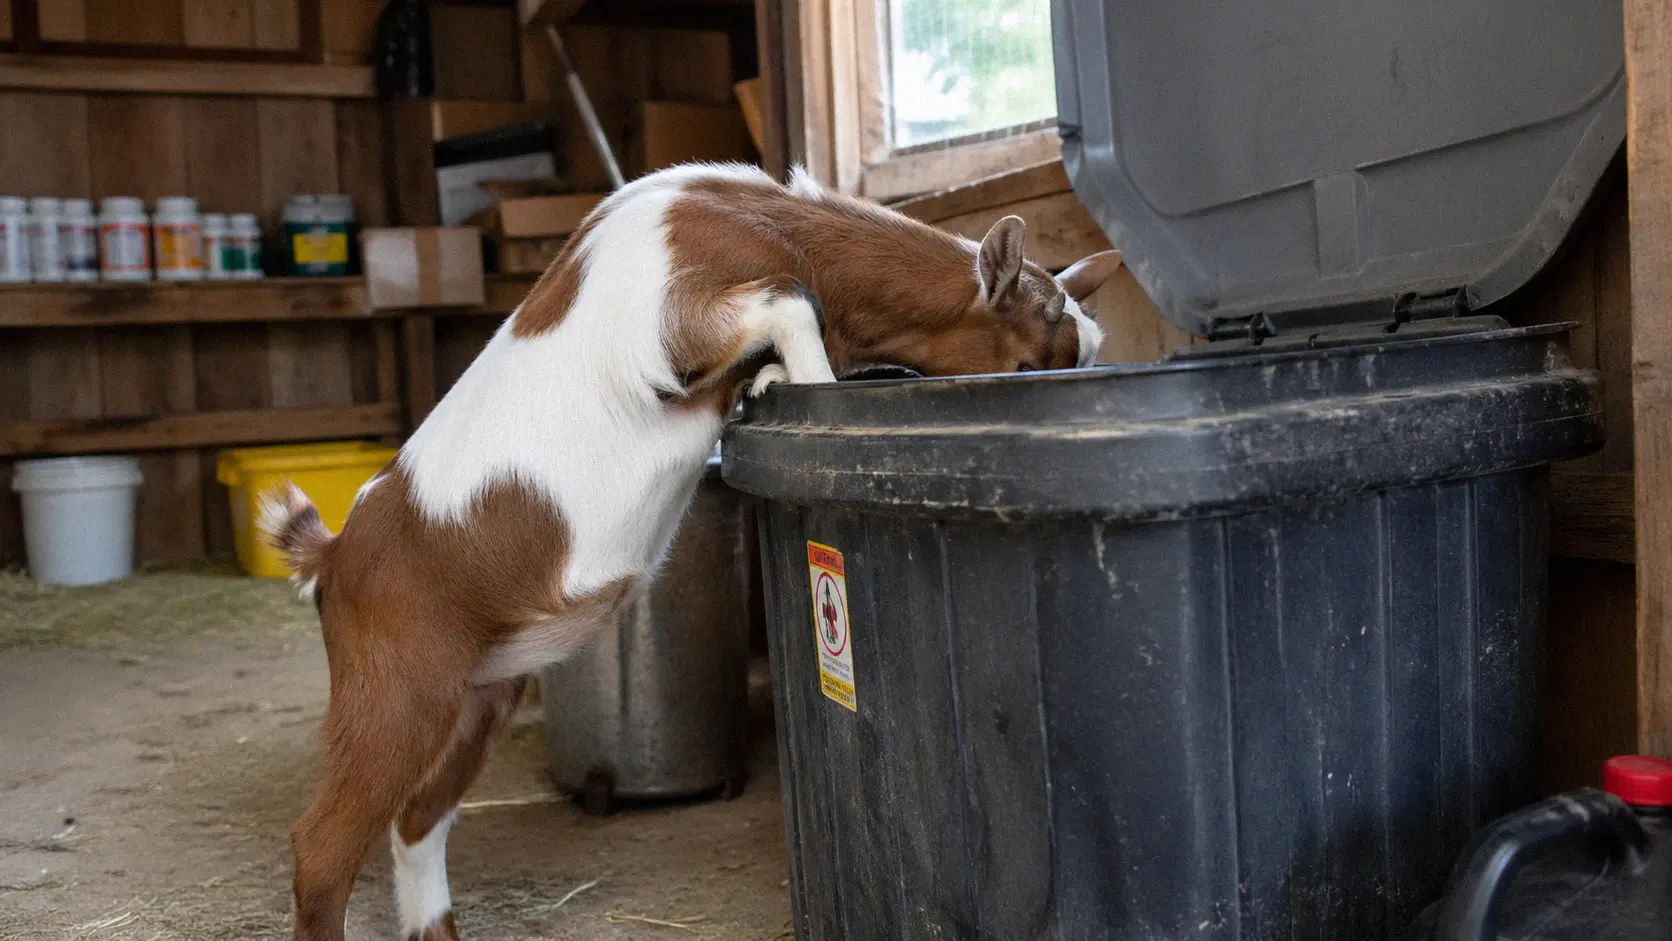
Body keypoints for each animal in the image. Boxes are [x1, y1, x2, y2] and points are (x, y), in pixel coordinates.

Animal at [260, 162, 1122, 941]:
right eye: (1025, 362)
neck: (753, 216)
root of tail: (334, 554)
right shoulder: (674, 329)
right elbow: (792, 298)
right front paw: (813, 387)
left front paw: (770, 382)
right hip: (396, 692)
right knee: (322, 848)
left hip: (481, 695)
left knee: (418, 822)